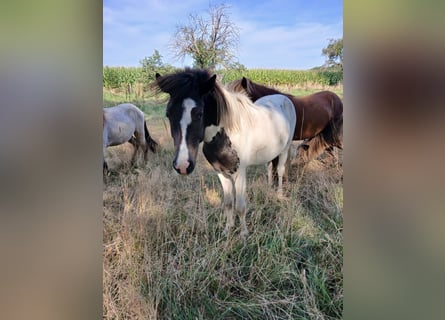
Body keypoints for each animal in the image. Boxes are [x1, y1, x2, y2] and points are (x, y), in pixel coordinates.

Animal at [153, 68, 294, 238]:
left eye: (199, 113)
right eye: (168, 114)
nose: (182, 165)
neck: (226, 134)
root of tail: (283, 97)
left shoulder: (240, 173)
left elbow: (240, 206)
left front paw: (243, 234)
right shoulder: (221, 172)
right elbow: (227, 203)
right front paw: (228, 230)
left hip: (285, 149)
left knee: (279, 170)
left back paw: (279, 194)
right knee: (269, 167)